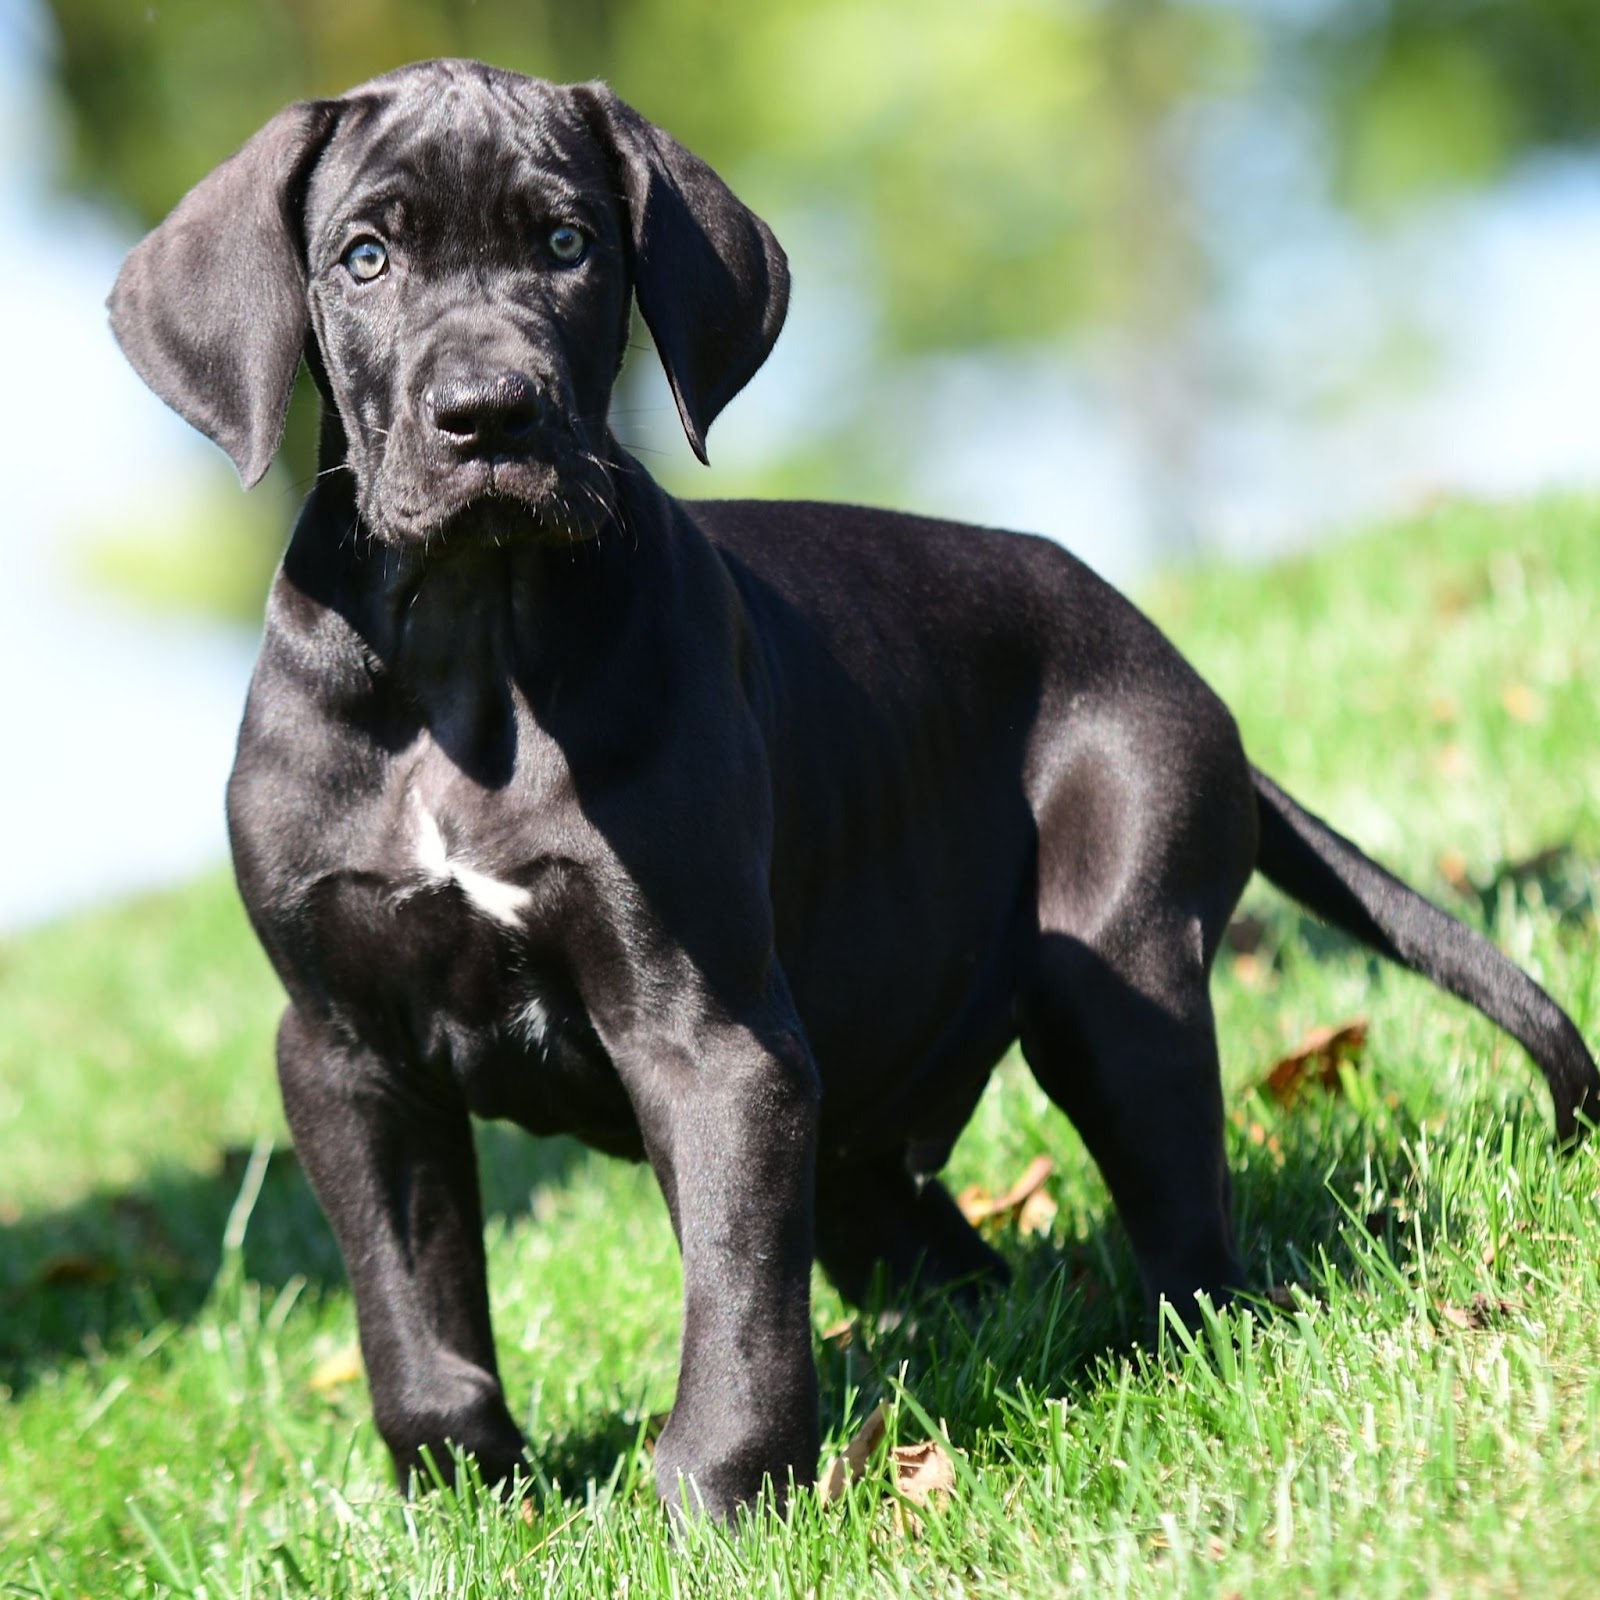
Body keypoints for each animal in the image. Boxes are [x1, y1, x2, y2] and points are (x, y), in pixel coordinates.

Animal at [106, 56, 1593, 1516]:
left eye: (568, 244)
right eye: (365, 258)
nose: (490, 416)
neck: (469, 649)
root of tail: (1174, 662)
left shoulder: (710, 1033)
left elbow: (735, 1294)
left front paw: (714, 1505)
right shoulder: (344, 1049)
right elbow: (412, 1305)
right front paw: (466, 1498)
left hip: (1113, 966)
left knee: (1183, 1220)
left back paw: (1176, 1345)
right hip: (874, 1110)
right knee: (946, 1249)